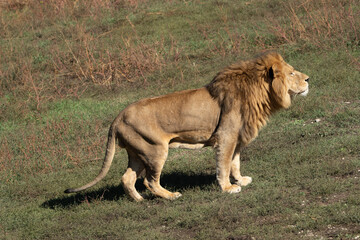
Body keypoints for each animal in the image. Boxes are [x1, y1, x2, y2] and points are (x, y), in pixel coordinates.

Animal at [64, 52, 310, 201]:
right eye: (291, 73)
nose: (308, 79)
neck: (259, 92)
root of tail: (117, 117)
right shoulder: (226, 136)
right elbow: (224, 165)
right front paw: (228, 188)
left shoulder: (238, 138)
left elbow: (235, 163)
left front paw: (241, 180)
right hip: (155, 150)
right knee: (149, 181)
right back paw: (171, 195)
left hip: (138, 153)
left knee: (127, 178)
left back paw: (140, 200)